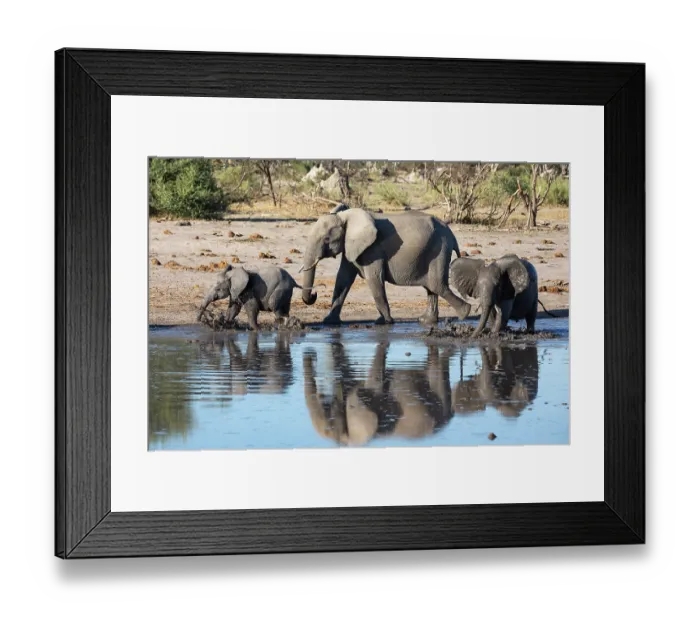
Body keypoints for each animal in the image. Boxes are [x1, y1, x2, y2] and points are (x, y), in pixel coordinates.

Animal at [299, 204, 471, 325]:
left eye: (326, 239)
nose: (314, 294)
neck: (346, 217)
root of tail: (451, 233)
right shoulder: (351, 246)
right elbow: (343, 279)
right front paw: (329, 322)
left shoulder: (373, 249)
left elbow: (374, 279)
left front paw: (384, 322)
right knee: (431, 287)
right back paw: (426, 321)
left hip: (440, 249)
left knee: (436, 285)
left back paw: (464, 314)